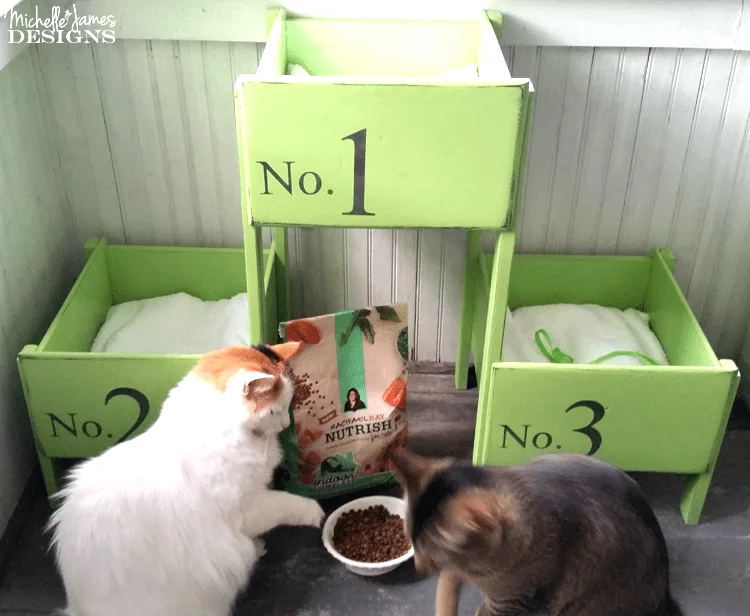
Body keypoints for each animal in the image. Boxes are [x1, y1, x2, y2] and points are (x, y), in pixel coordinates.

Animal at [49, 342, 326, 616]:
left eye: (288, 405)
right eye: (275, 411)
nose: (285, 424)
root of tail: (78, 607)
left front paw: (259, 546)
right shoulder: (248, 508)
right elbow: (286, 504)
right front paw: (315, 513)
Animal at [390, 448, 684, 616]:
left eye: (432, 555)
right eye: (411, 543)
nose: (418, 566)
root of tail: (665, 600)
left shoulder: (513, 603)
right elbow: (447, 594)